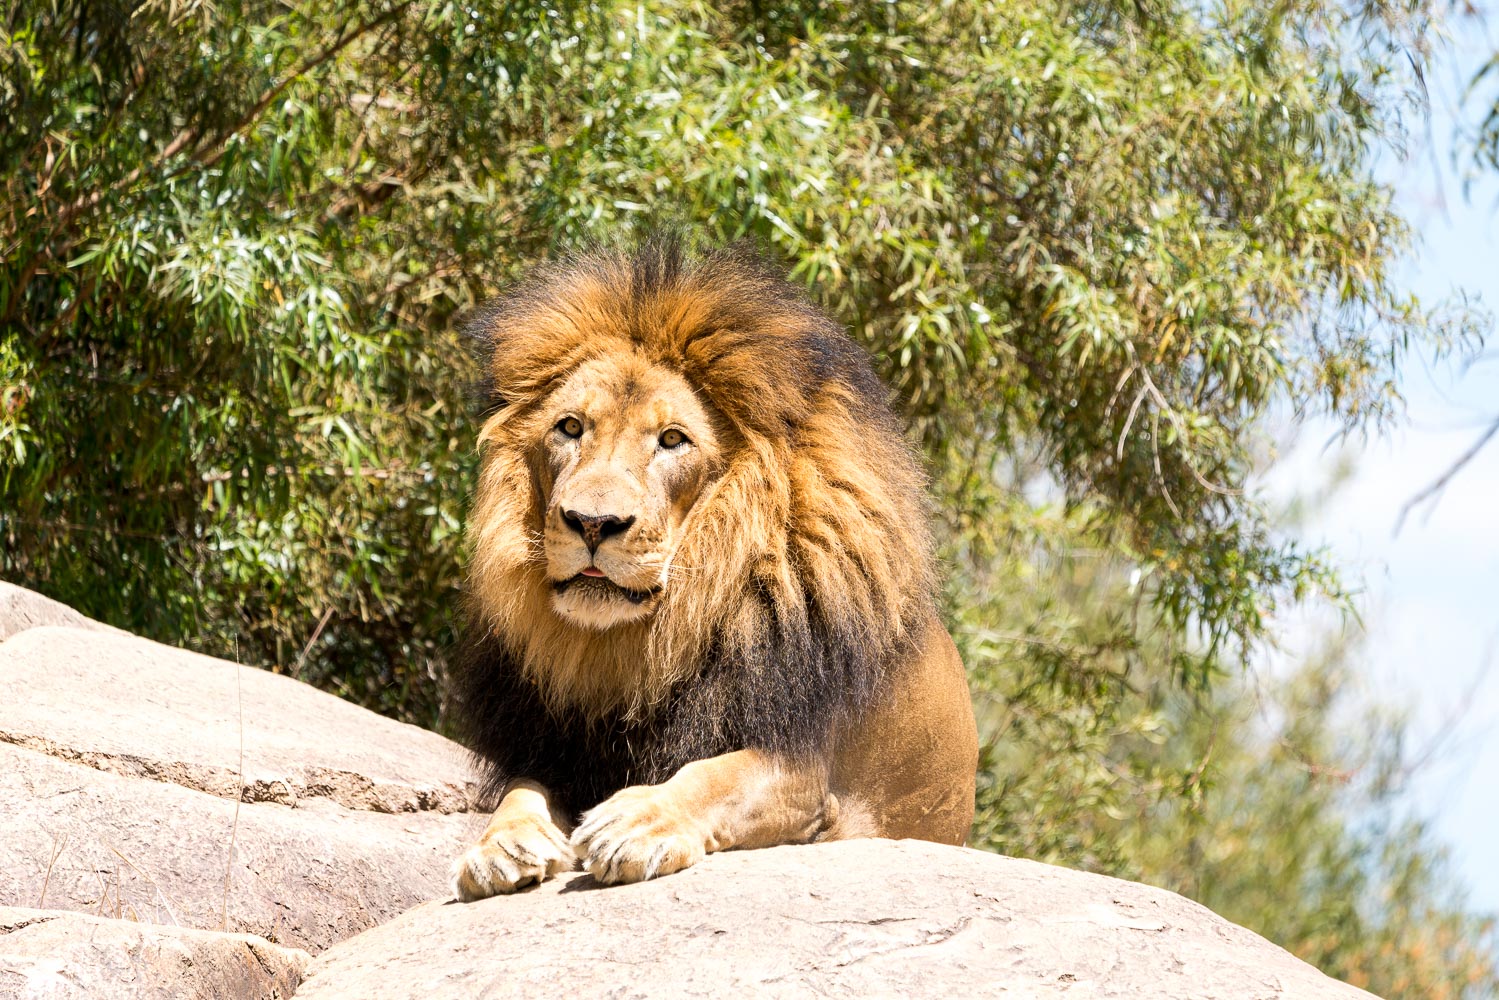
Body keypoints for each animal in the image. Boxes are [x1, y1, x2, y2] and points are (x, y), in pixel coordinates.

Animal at [449, 236, 977, 899]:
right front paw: (501, 846)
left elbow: (716, 776)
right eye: (569, 427)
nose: (591, 523)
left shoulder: (804, 770)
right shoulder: (558, 754)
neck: (631, 650)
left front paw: (633, 823)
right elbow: (521, 791)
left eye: (673, 440)